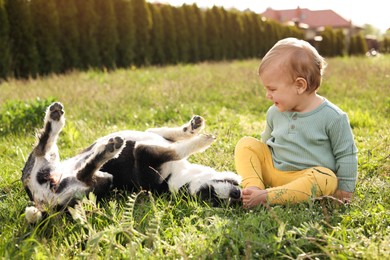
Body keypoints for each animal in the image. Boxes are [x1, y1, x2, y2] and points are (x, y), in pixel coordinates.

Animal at [21, 102, 242, 222]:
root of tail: (43, 203)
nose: (237, 196)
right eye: (209, 195)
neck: (176, 176)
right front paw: (198, 133)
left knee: (80, 168)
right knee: (45, 147)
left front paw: (198, 134)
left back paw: (107, 148)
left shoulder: (148, 147)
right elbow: (176, 142)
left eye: (215, 201)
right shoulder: (146, 146)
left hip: (95, 181)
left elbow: (176, 143)